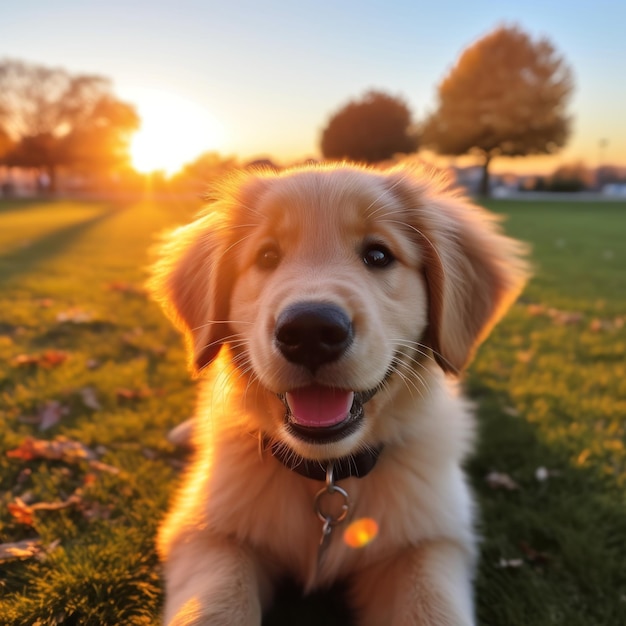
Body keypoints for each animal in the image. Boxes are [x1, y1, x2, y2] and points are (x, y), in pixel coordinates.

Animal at [150, 163, 528, 620]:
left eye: (379, 255)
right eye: (266, 256)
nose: (310, 331)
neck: (328, 474)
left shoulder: (430, 540)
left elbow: (432, 607)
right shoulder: (205, 531)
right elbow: (218, 601)